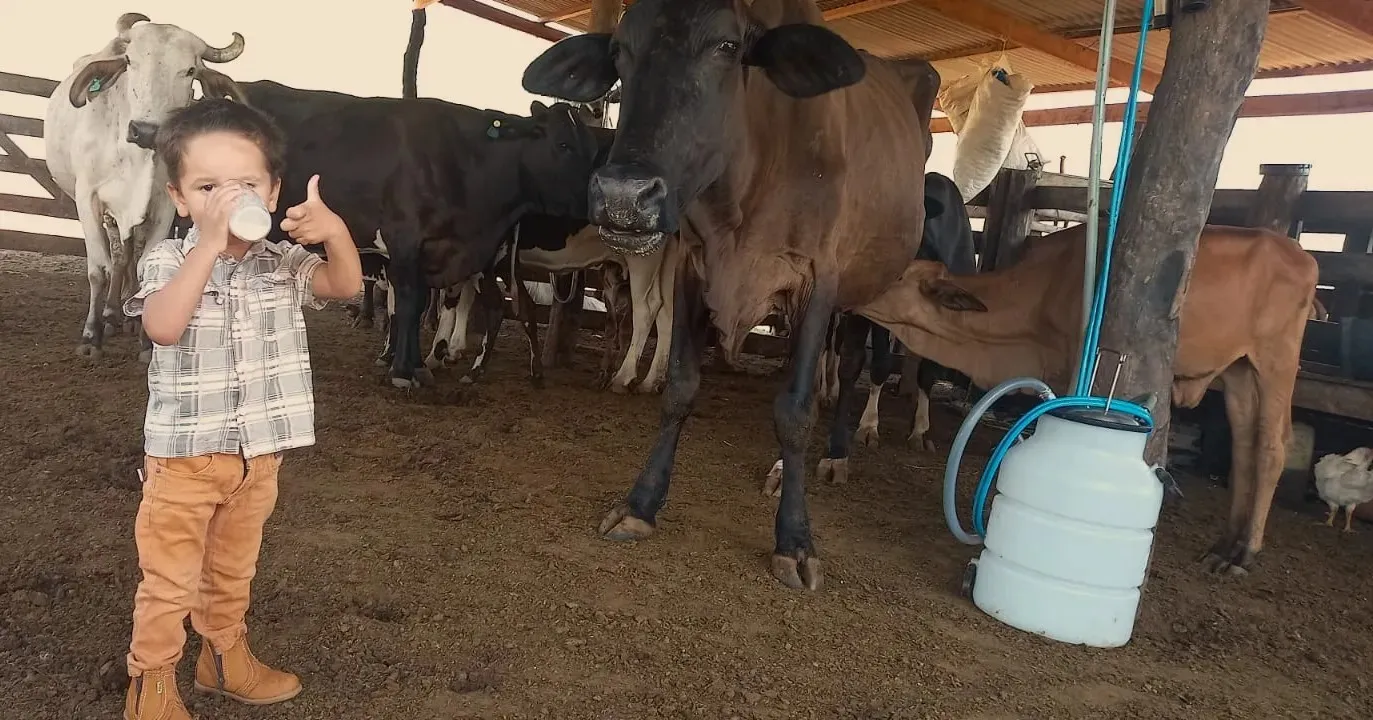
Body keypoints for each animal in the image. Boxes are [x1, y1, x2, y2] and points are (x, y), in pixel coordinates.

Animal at [44, 12, 246, 360]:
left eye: (190, 70)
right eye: (129, 61)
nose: (145, 130)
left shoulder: (164, 205)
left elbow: (145, 266)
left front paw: (147, 342)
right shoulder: (88, 199)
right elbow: (98, 269)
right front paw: (91, 336)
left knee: (127, 256)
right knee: (117, 258)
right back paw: (111, 315)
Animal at [232, 79, 608, 388]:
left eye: (593, 148)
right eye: (563, 144)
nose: (599, 199)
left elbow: (416, 306)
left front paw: (414, 365)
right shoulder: (404, 240)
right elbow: (411, 304)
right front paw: (403, 370)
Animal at [522, 0, 941, 590]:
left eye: (726, 47)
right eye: (620, 51)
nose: (624, 195)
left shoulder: (817, 280)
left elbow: (794, 410)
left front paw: (794, 541)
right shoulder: (693, 266)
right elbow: (679, 388)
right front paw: (641, 504)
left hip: (864, 284)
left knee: (850, 366)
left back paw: (836, 454)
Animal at [857, 224, 1319, 575]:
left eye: (898, 277)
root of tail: (1300, 253)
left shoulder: (1074, 363)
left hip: (1275, 359)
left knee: (1272, 447)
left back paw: (1243, 553)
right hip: (1239, 371)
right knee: (1243, 447)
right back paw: (1225, 544)